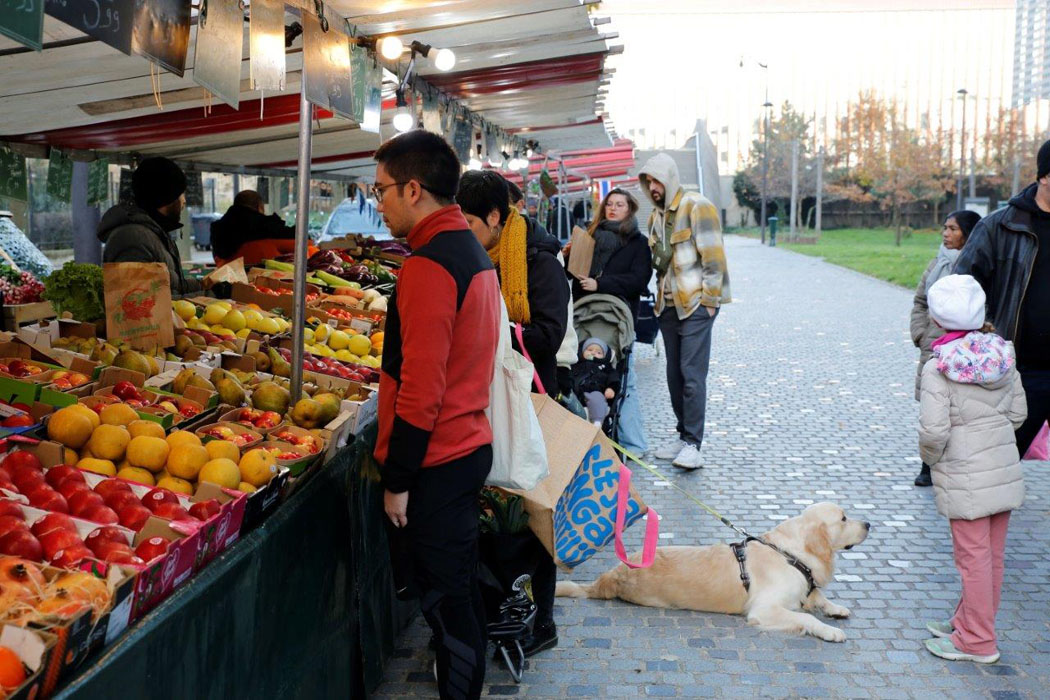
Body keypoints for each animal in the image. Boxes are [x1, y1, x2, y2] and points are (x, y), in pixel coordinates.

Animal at [558, 501, 869, 642]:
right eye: (843, 518)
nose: (868, 524)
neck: (790, 554)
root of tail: (610, 575)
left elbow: (817, 597)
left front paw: (835, 608)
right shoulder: (764, 609)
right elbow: (806, 616)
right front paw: (829, 630)